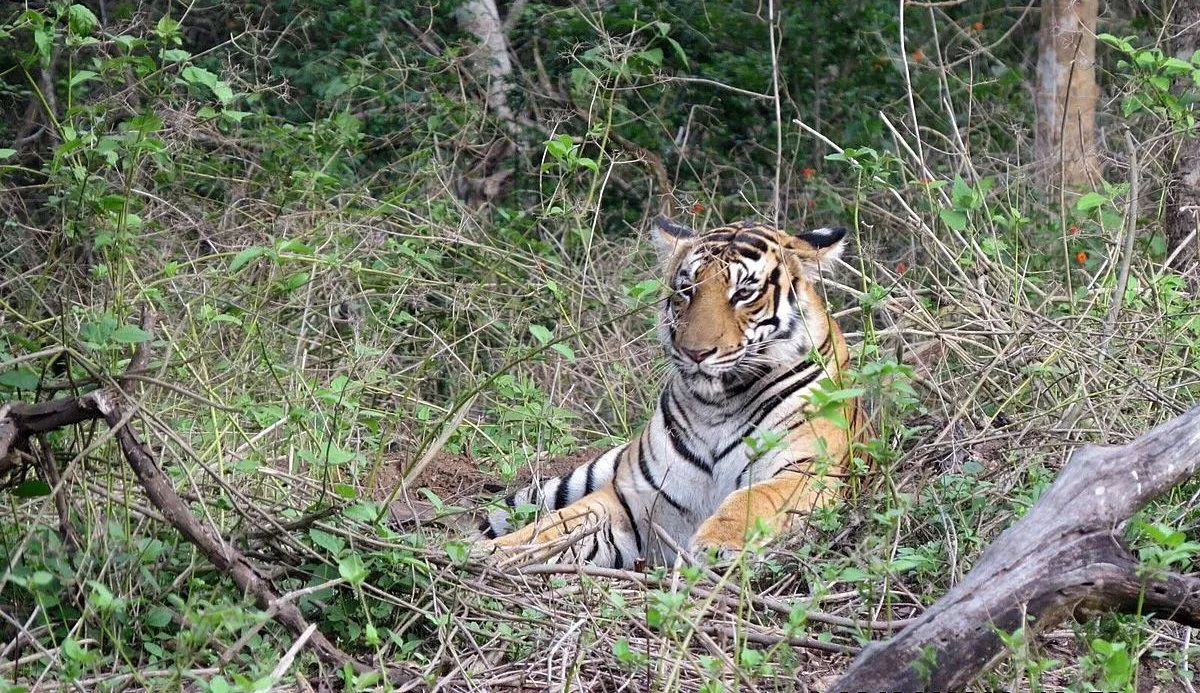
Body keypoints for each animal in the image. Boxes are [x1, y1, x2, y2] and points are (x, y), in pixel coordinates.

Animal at [478, 216, 862, 568]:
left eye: (743, 293)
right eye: (687, 289)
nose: (696, 353)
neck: (716, 406)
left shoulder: (807, 470)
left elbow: (756, 498)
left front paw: (717, 544)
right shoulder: (628, 501)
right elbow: (555, 526)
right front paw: (490, 553)